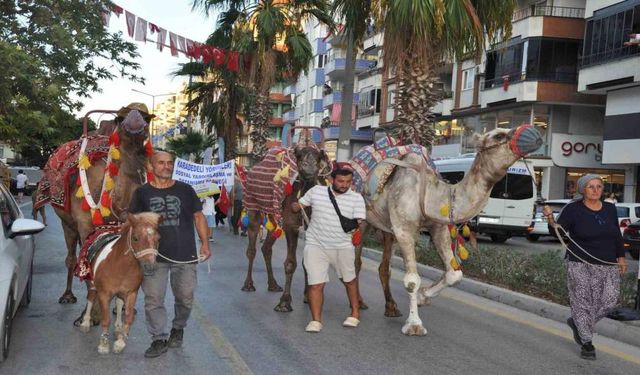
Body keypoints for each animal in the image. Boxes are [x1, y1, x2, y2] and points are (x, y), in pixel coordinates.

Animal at [77, 213, 160, 354]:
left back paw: (118, 327)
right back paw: (86, 323)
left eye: (158, 239)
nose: (150, 267)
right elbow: (105, 319)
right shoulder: (104, 294)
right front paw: (104, 344)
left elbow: (129, 316)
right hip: (91, 283)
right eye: (135, 238)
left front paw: (120, 342)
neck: (120, 265)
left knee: (120, 303)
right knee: (91, 298)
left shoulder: (132, 293)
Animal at [241, 134, 330, 312]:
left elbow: (306, 261)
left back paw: (273, 284)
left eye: (318, 158)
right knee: (252, 247)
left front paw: (307, 297)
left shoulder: (310, 225)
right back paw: (248, 284)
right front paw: (284, 302)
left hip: (274, 217)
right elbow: (290, 263)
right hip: (253, 206)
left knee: (266, 247)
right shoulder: (291, 226)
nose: (308, 167)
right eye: (300, 156)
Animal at [352, 125, 544, 336]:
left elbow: (455, 274)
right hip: (362, 220)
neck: (431, 193)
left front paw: (424, 296)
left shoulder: (438, 227)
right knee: (356, 261)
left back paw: (391, 308)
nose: (535, 133)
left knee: (383, 266)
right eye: (498, 135)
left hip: (385, 227)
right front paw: (414, 325)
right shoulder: (404, 228)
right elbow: (412, 280)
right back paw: (360, 303)